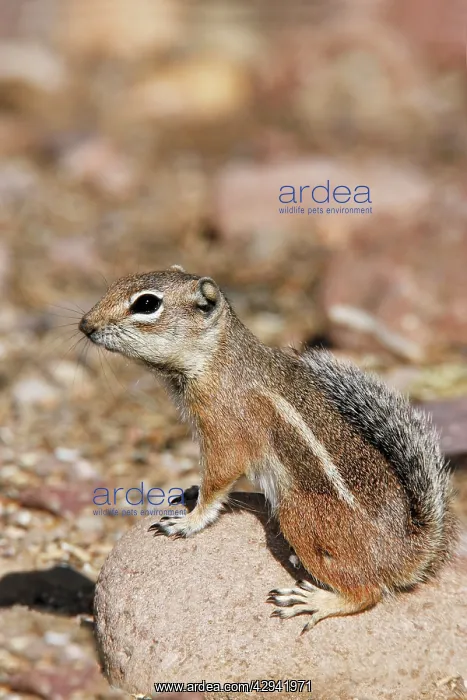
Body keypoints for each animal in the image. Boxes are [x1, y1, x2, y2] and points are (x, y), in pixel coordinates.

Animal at [79, 266, 456, 631]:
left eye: (146, 304)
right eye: (116, 283)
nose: (85, 324)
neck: (217, 356)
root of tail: (407, 551)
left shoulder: (224, 431)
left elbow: (219, 480)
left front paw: (189, 521)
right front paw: (190, 493)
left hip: (299, 515)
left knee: (367, 592)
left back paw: (316, 601)